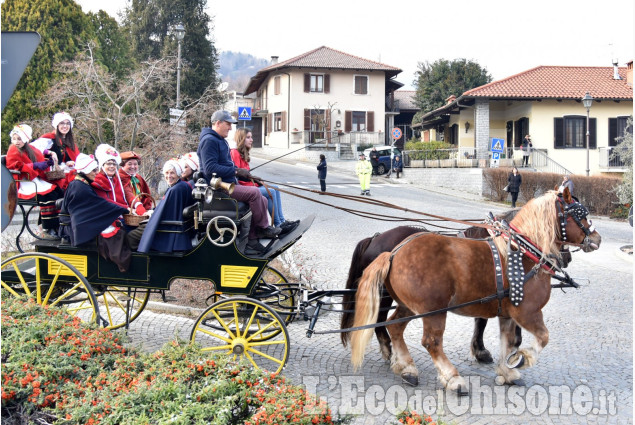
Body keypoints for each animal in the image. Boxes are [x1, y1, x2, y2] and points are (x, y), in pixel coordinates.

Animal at [348, 190, 600, 394]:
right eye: (580, 214)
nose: (597, 238)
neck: (522, 252)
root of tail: (393, 252)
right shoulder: (528, 312)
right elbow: (541, 338)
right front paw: (521, 359)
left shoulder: (507, 313)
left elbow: (508, 340)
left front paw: (506, 370)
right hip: (433, 310)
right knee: (430, 341)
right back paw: (452, 378)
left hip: (408, 305)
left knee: (395, 327)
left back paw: (407, 368)